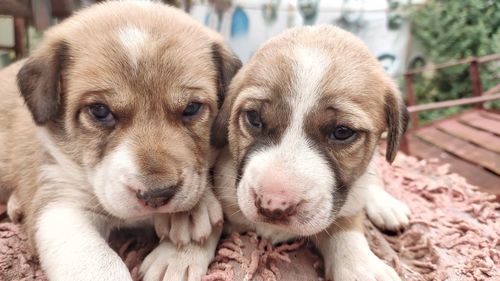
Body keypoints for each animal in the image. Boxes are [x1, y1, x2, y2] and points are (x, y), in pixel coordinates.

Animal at [0, 1, 240, 278]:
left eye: (191, 108)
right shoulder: (61, 204)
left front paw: (180, 251)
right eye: (99, 111)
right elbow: (99, 263)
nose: (156, 195)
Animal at [211, 25, 410, 278]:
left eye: (342, 132)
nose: (273, 206)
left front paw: (360, 266)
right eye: (254, 118)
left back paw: (387, 206)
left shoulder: (347, 206)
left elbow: (347, 228)